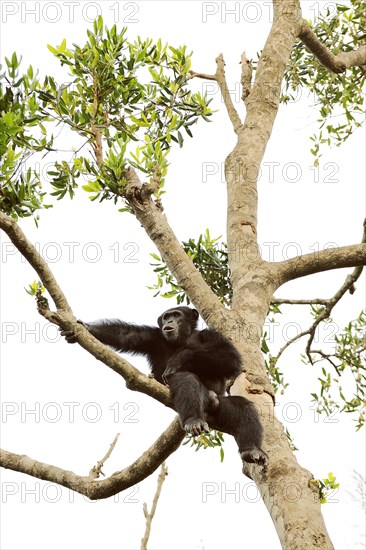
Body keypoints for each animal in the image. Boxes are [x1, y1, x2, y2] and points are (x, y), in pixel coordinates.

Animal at [61, 306, 268, 470]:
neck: (183, 339)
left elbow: (230, 357)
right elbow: (125, 335)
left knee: (243, 406)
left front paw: (181, 357)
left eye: (176, 315)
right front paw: (85, 328)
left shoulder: (212, 335)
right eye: (167, 316)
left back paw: (252, 450)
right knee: (186, 380)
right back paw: (194, 420)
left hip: (219, 408)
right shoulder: (152, 337)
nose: (169, 320)